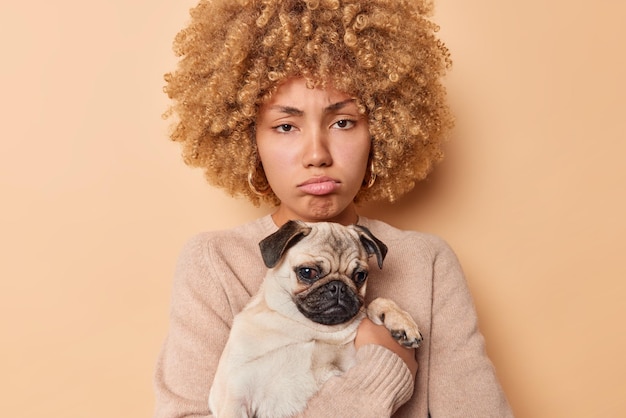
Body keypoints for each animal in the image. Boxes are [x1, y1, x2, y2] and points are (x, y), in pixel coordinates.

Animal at [208, 220, 420, 416]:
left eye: (360, 276)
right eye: (308, 272)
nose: (338, 287)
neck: (304, 327)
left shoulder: (349, 364)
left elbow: (377, 302)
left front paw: (402, 322)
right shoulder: (236, 396)